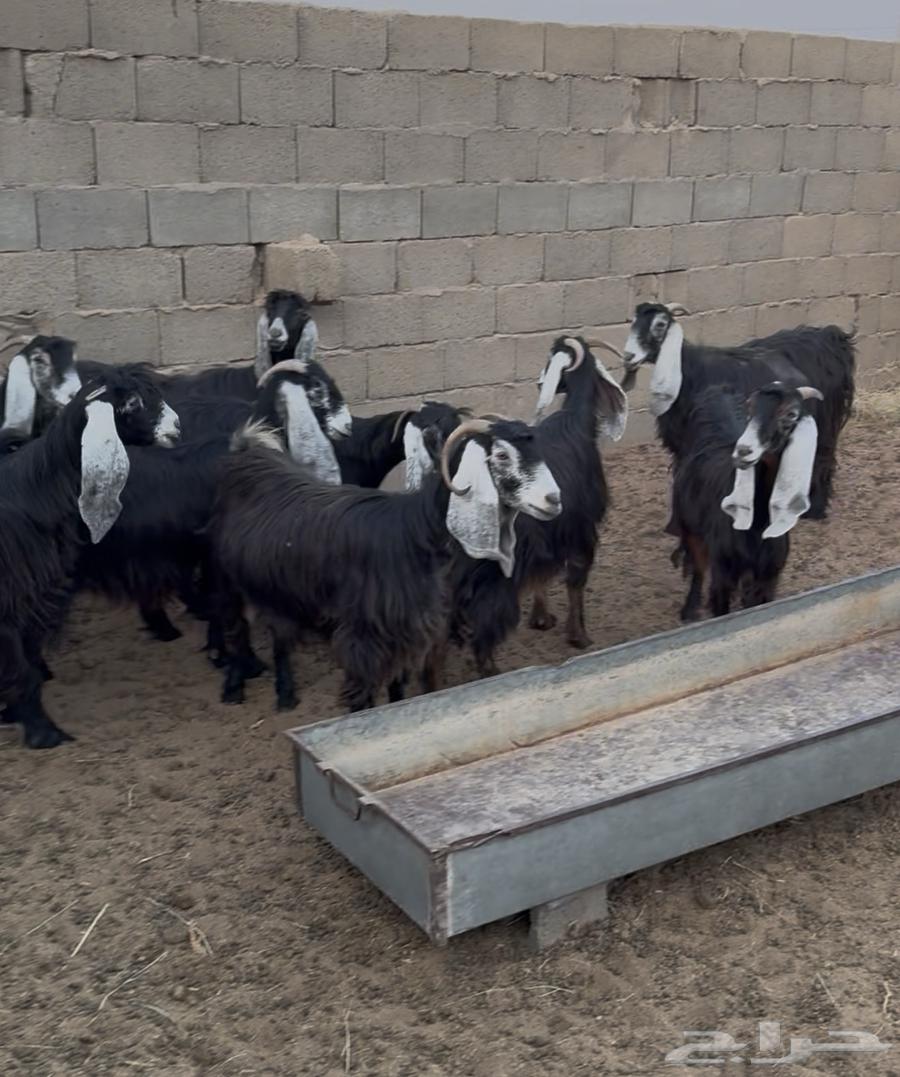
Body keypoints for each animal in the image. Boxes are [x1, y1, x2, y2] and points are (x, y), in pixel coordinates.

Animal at [0, 368, 181, 749]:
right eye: (132, 403)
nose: (176, 427)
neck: (37, 490)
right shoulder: (11, 605)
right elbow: (22, 672)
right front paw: (44, 734)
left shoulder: (33, 604)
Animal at [211, 417, 562, 713]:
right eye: (501, 455)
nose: (554, 500)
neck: (413, 533)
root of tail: (246, 451)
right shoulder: (362, 639)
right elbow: (362, 696)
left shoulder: (405, 634)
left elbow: (397, 689)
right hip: (227, 579)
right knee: (236, 627)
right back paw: (233, 689)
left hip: (279, 590)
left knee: (280, 635)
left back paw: (285, 696)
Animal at [442, 337, 626, 677]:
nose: (541, 383)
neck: (575, 421)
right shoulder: (581, 530)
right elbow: (576, 580)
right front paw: (579, 636)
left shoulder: (547, 536)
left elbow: (542, 576)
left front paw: (542, 619)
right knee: (486, 620)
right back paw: (491, 670)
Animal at [621, 303, 855, 520]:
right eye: (633, 322)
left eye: (660, 324)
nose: (628, 356)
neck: (688, 371)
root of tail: (829, 340)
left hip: (822, 423)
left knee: (822, 459)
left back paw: (814, 510)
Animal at [673, 380, 824, 622]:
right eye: (750, 408)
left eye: (791, 414)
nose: (743, 451)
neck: (758, 524)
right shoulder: (723, 571)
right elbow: (721, 609)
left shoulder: (769, 576)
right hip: (689, 525)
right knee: (698, 566)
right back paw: (689, 611)